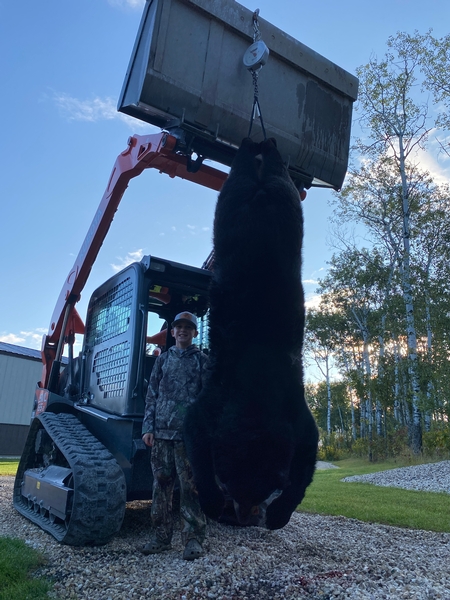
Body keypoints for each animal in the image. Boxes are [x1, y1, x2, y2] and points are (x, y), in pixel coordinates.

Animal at [185, 137, 318, 528]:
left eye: (265, 491)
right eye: (228, 486)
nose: (244, 515)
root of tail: (260, 189)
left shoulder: (295, 413)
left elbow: (306, 458)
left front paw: (278, 513)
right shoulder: (216, 399)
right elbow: (194, 431)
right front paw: (211, 502)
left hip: (274, 194)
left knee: (269, 173)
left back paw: (264, 146)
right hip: (242, 196)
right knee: (245, 175)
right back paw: (256, 145)